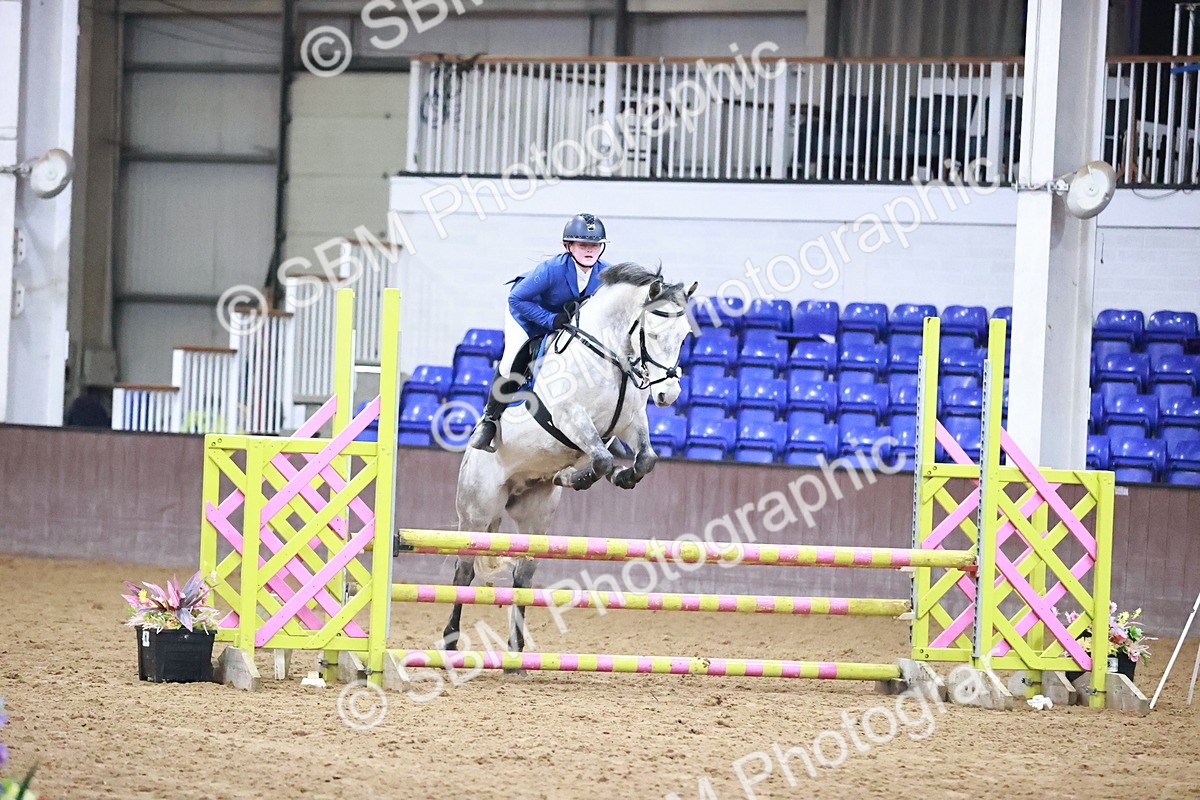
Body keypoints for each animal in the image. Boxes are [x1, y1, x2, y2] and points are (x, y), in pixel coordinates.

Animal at [442, 262, 697, 658]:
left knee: (522, 576)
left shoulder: (630, 422)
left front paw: (618, 476)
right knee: (463, 572)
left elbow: (645, 459)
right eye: (652, 334)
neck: (610, 356)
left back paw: (516, 651)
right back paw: (451, 641)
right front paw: (581, 476)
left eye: (684, 336)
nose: (667, 394)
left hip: (535, 519)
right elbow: (602, 458)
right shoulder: (570, 418)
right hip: (476, 513)